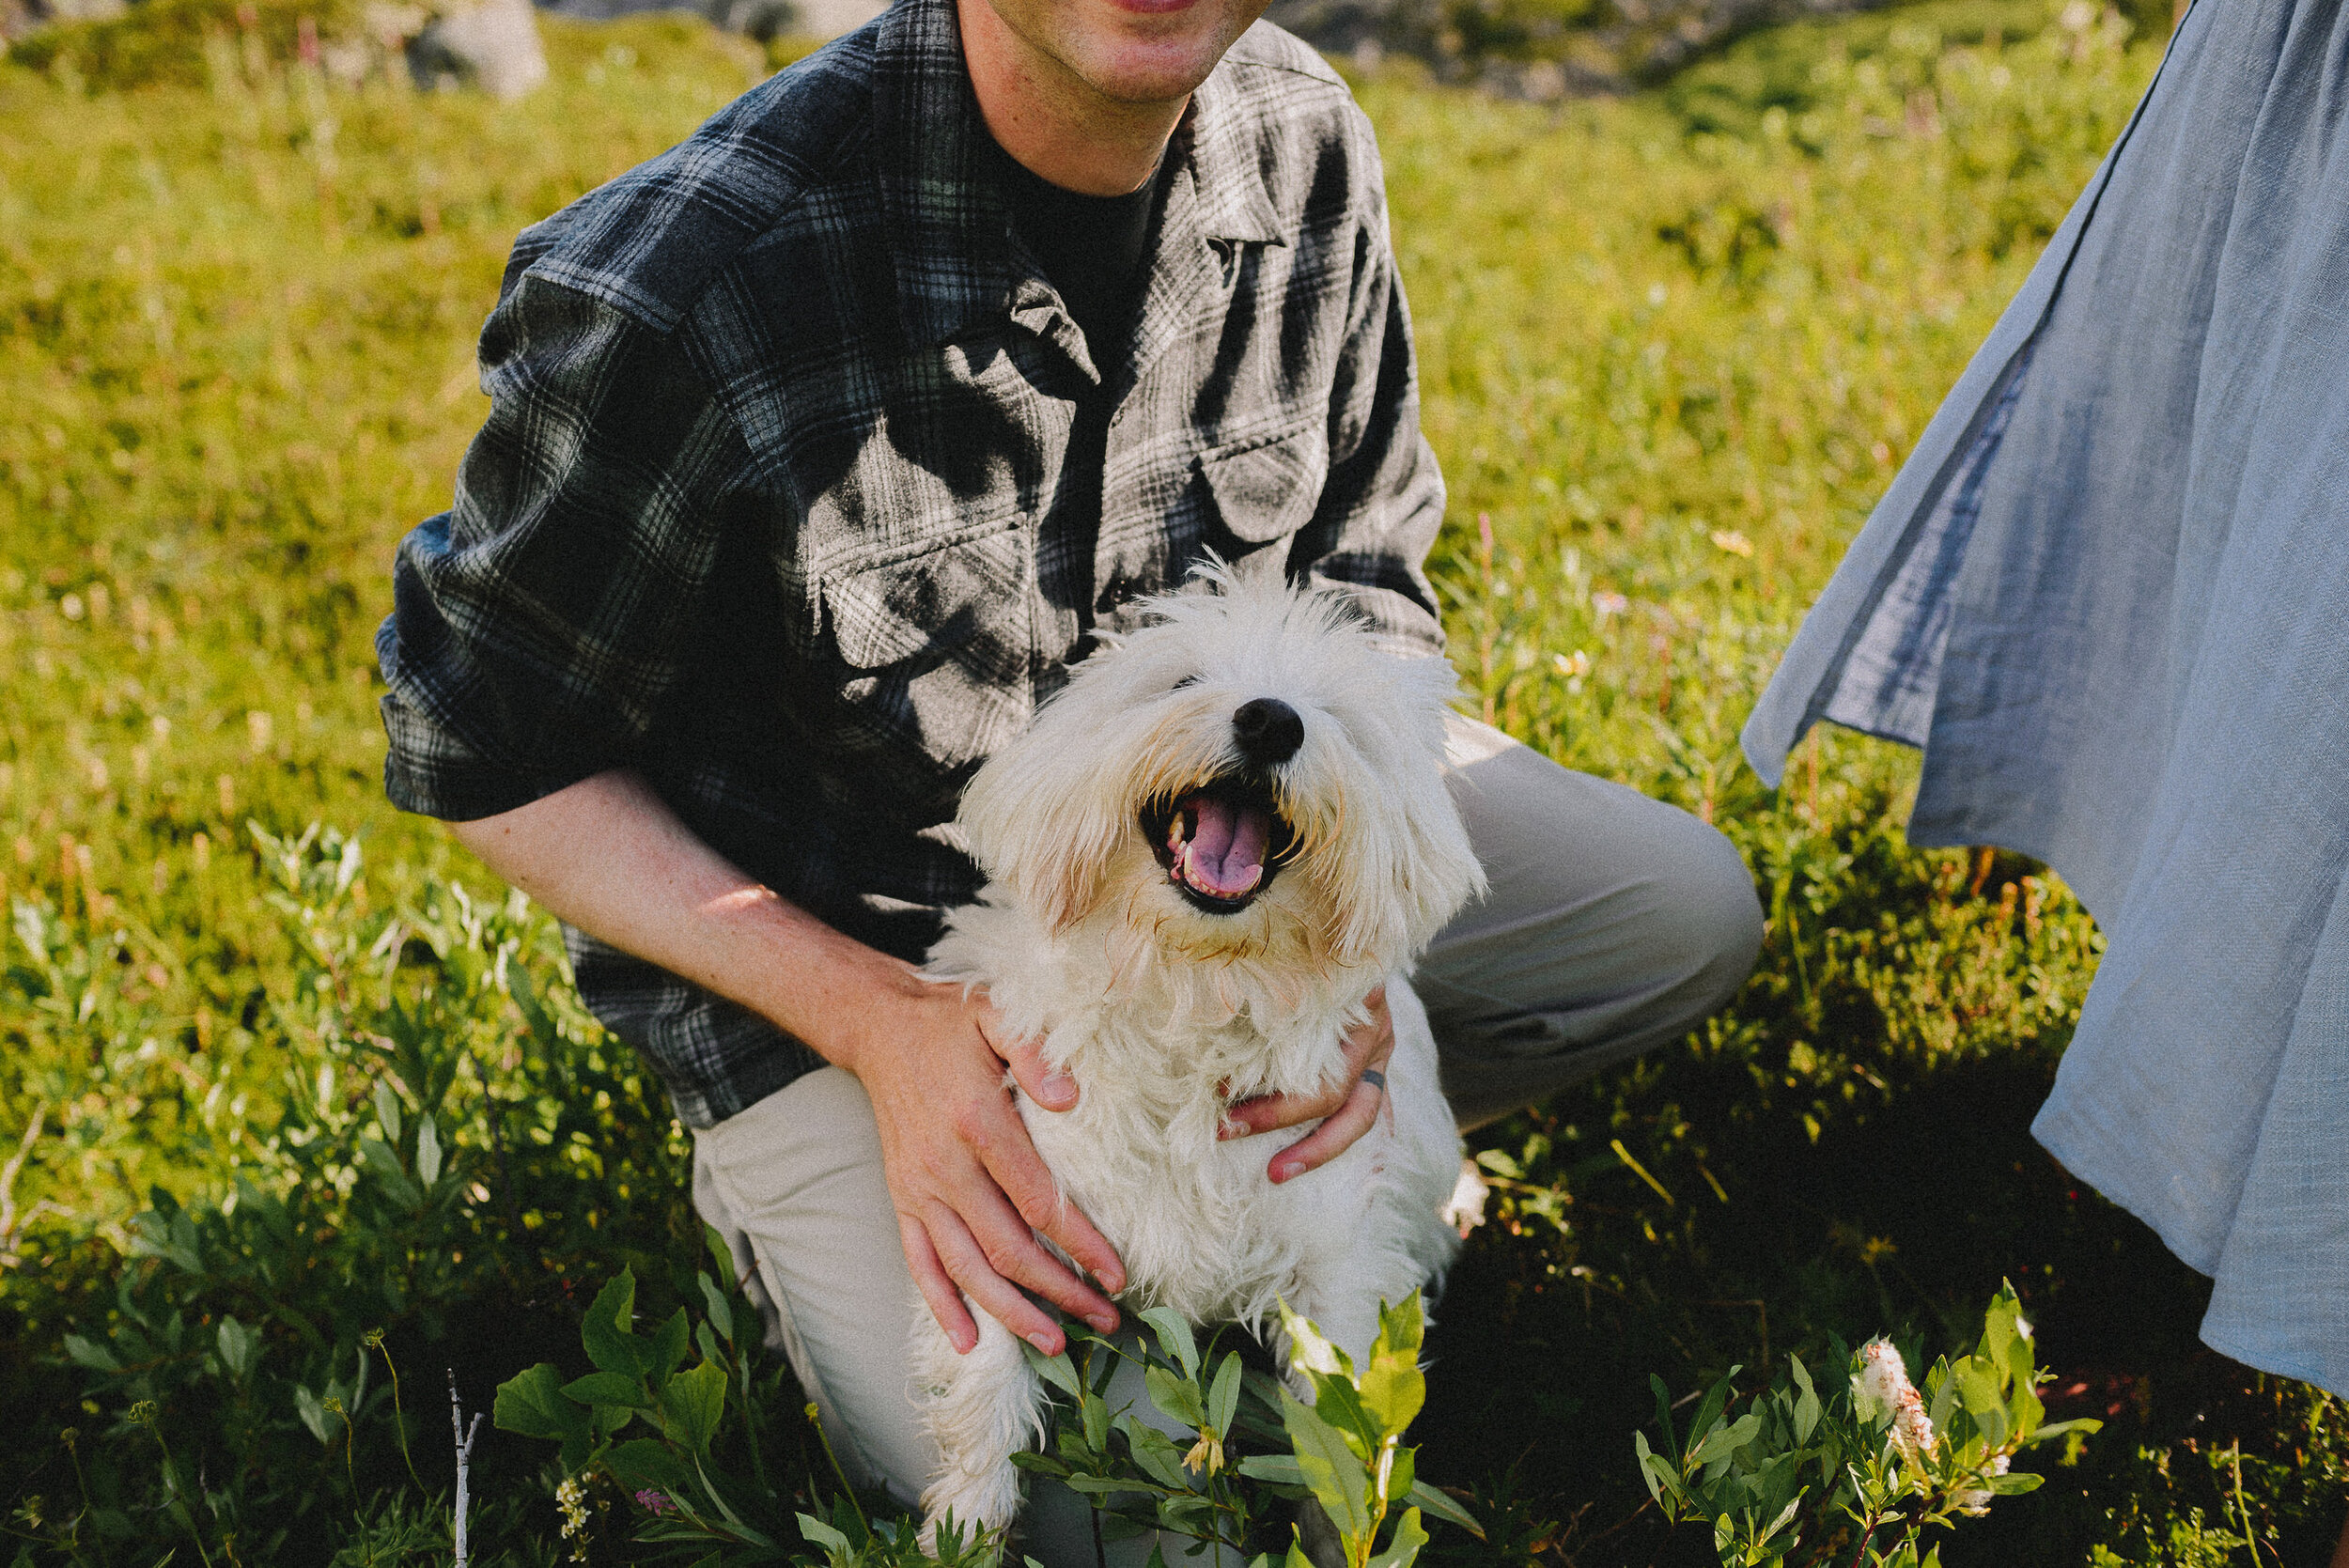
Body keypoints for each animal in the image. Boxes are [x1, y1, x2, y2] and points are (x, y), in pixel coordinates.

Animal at [911, 566, 1485, 1540]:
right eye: (1182, 679)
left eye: (1333, 714)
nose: (1272, 721)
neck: (1195, 991)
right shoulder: (1006, 1218)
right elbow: (984, 1399)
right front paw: (960, 1534)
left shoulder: (1337, 1271)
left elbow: (1345, 1449)